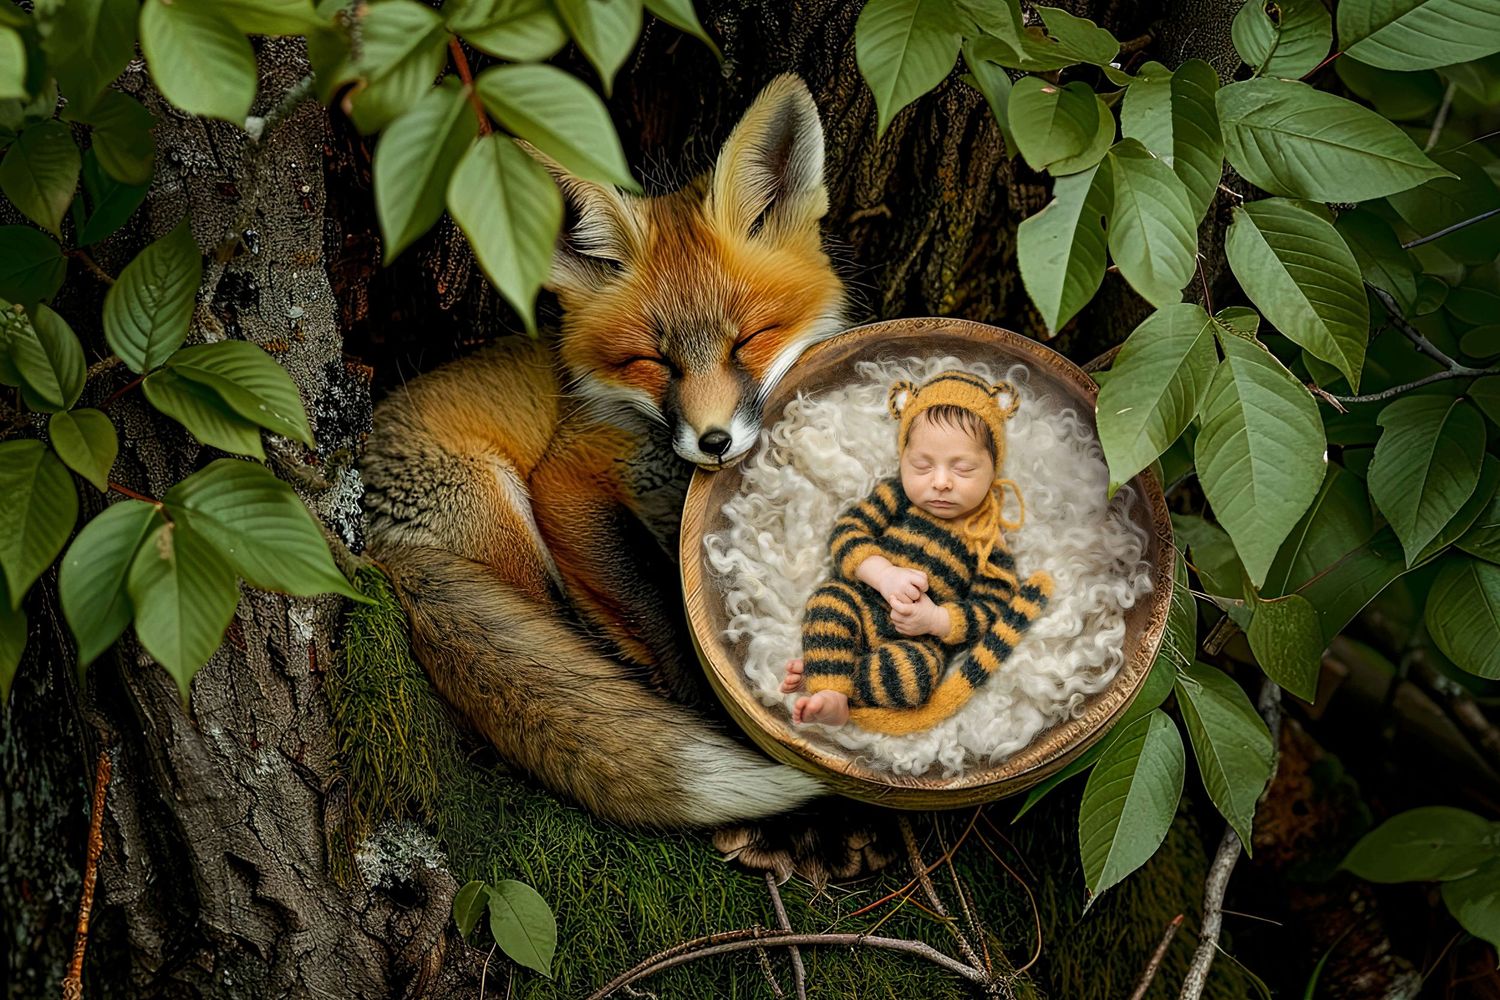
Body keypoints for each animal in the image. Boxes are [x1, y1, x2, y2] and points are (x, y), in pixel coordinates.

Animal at [361, 76, 850, 831]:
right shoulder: (566, 480)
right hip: (503, 517)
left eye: (747, 340)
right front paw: (695, 694)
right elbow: (649, 597)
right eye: (652, 361)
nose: (714, 441)